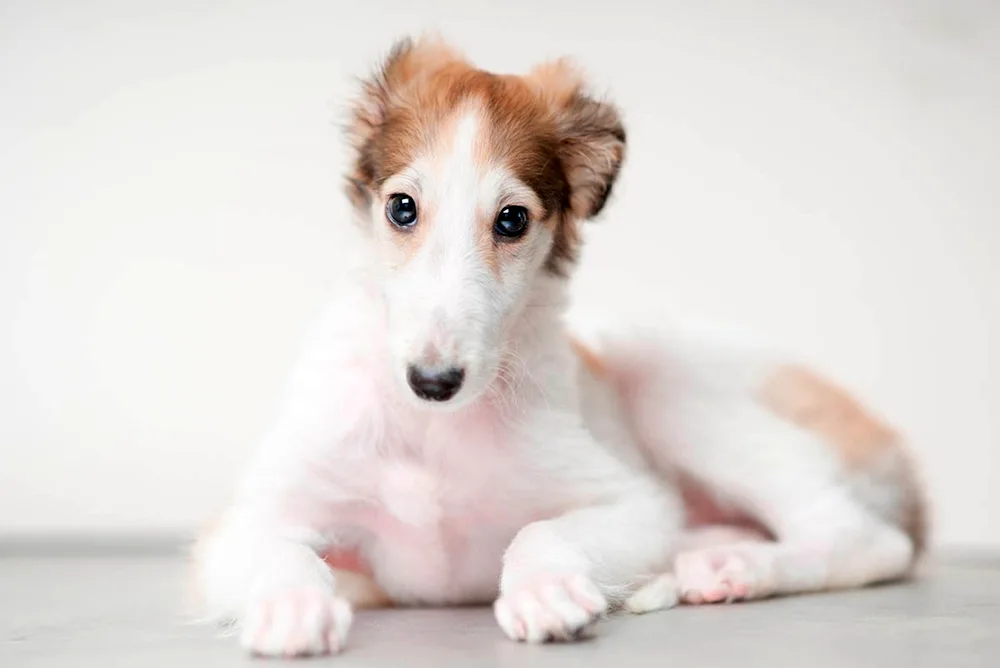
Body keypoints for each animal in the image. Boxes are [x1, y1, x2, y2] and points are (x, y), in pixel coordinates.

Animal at [195, 36, 928, 656]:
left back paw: (736, 565)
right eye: (402, 208)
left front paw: (545, 592)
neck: (433, 436)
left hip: (665, 380)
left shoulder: (634, 502)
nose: (432, 383)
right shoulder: (242, 524)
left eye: (512, 220)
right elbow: (283, 551)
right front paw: (291, 608)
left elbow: (541, 529)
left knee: (867, 539)